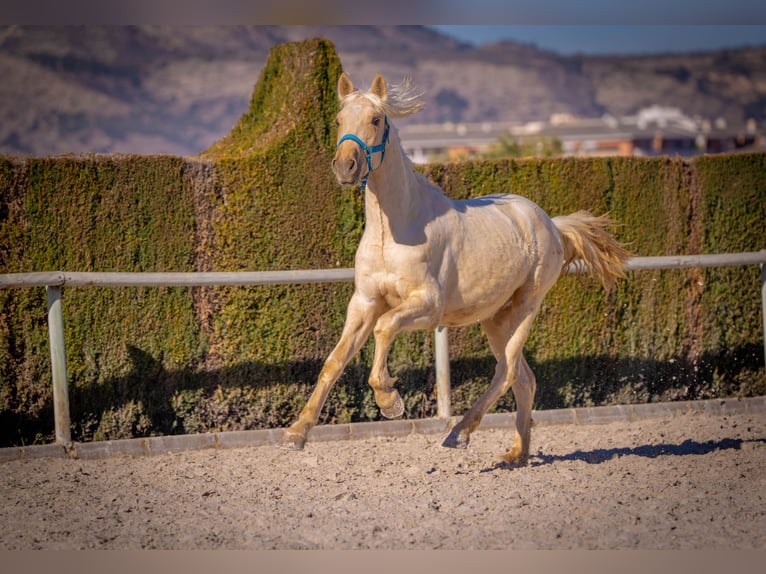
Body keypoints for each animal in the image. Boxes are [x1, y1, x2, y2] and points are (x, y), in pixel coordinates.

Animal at [280, 73, 632, 468]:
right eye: (339, 120)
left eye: (376, 119)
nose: (345, 168)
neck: (395, 229)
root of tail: (551, 224)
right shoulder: (364, 303)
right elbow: (334, 361)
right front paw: (296, 433)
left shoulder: (427, 305)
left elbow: (384, 329)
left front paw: (390, 401)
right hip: (496, 318)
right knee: (524, 378)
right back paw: (516, 454)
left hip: (525, 307)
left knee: (507, 371)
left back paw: (459, 433)